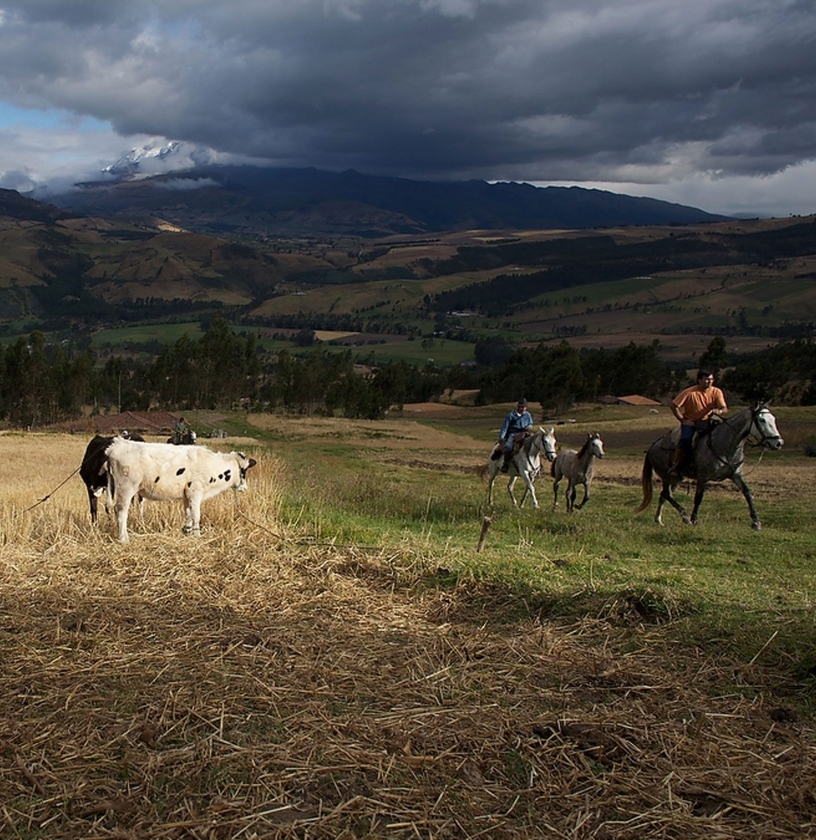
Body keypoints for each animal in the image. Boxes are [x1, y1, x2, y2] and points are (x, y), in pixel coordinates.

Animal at [104, 437, 257, 542]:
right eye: (244, 471)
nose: (244, 487)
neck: (211, 465)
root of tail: (116, 445)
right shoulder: (195, 492)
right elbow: (196, 516)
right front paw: (197, 536)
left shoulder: (186, 495)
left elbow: (188, 515)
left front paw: (188, 533)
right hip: (126, 488)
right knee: (121, 511)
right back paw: (123, 538)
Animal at [635, 402, 783, 530]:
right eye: (762, 420)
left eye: (773, 419)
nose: (778, 443)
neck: (725, 445)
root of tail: (653, 446)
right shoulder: (703, 477)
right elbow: (698, 498)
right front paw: (694, 520)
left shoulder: (736, 475)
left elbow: (747, 493)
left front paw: (756, 522)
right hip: (666, 476)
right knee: (667, 494)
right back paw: (685, 516)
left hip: (677, 478)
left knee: (664, 495)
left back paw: (659, 519)